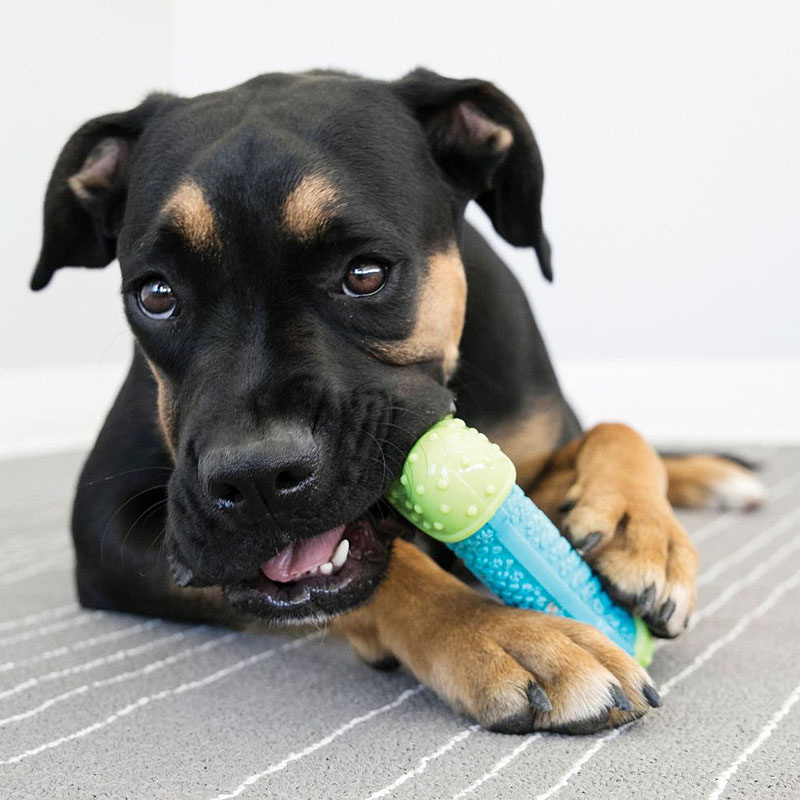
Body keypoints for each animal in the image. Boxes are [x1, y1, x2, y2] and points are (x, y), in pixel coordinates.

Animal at [31, 67, 764, 732]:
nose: (257, 477)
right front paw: (509, 633)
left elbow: (617, 430)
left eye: (366, 274)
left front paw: (637, 530)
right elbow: (394, 569)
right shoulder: (106, 533)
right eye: (155, 294)